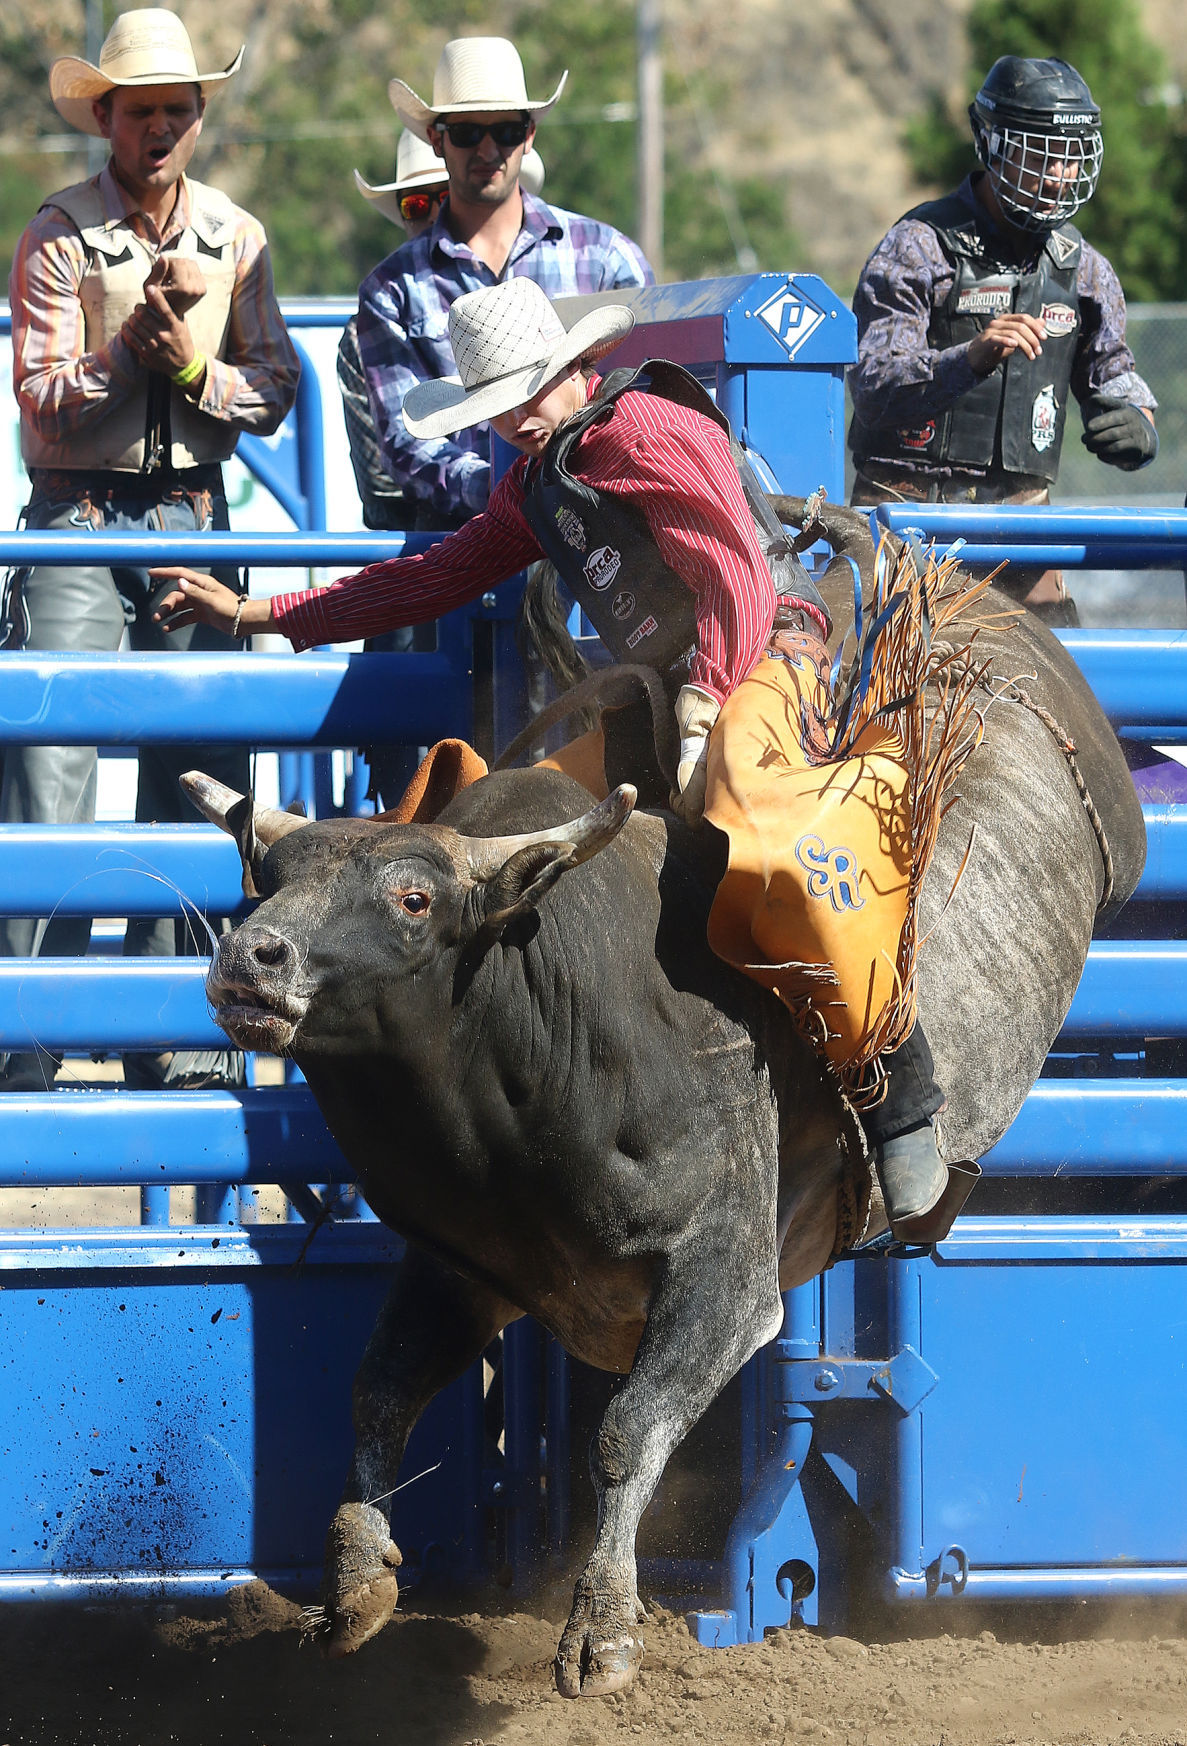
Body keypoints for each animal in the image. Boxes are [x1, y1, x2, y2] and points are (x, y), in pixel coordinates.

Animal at [183, 507, 1145, 1698]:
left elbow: (627, 1429)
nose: (249, 959)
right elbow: (378, 1390)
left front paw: (601, 1634)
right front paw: (356, 1584)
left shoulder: (726, 1281)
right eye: (263, 882)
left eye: (411, 897)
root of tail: (984, 606)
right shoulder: (465, 1267)